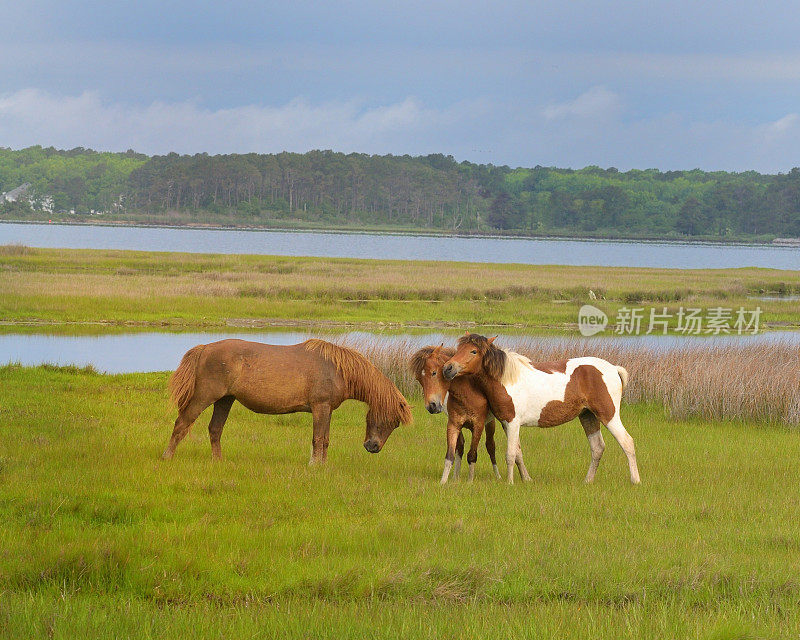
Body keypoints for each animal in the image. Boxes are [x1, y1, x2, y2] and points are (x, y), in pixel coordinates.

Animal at [162, 338, 412, 462]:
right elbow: (318, 439)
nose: (373, 447)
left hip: (225, 400)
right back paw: (167, 457)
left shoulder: (327, 410)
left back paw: (218, 462)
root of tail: (205, 348)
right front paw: (315, 466)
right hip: (204, 396)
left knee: (215, 429)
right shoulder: (320, 407)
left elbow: (325, 440)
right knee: (182, 423)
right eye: (390, 420)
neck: (337, 369)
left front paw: (323, 466)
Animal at [412, 344, 532, 484]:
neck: (466, 394)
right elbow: (451, 454)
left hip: (494, 424)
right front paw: (445, 481)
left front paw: (470, 481)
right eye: (419, 379)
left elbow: (472, 454)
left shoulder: (478, 425)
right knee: (461, 446)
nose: (431, 406)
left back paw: (504, 476)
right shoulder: (454, 424)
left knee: (493, 446)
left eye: (434, 373)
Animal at [440, 336, 640, 484]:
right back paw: (587, 481)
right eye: (459, 349)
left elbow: (510, 454)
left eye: (473, 351)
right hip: (588, 416)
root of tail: (613, 369)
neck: (507, 379)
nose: (448, 368)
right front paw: (525, 479)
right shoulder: (506, 424)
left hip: (608, 416)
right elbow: (518, 452)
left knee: (627, 442)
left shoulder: (513, 423)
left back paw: (635, 480)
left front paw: (510, 483)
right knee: (597, 448)